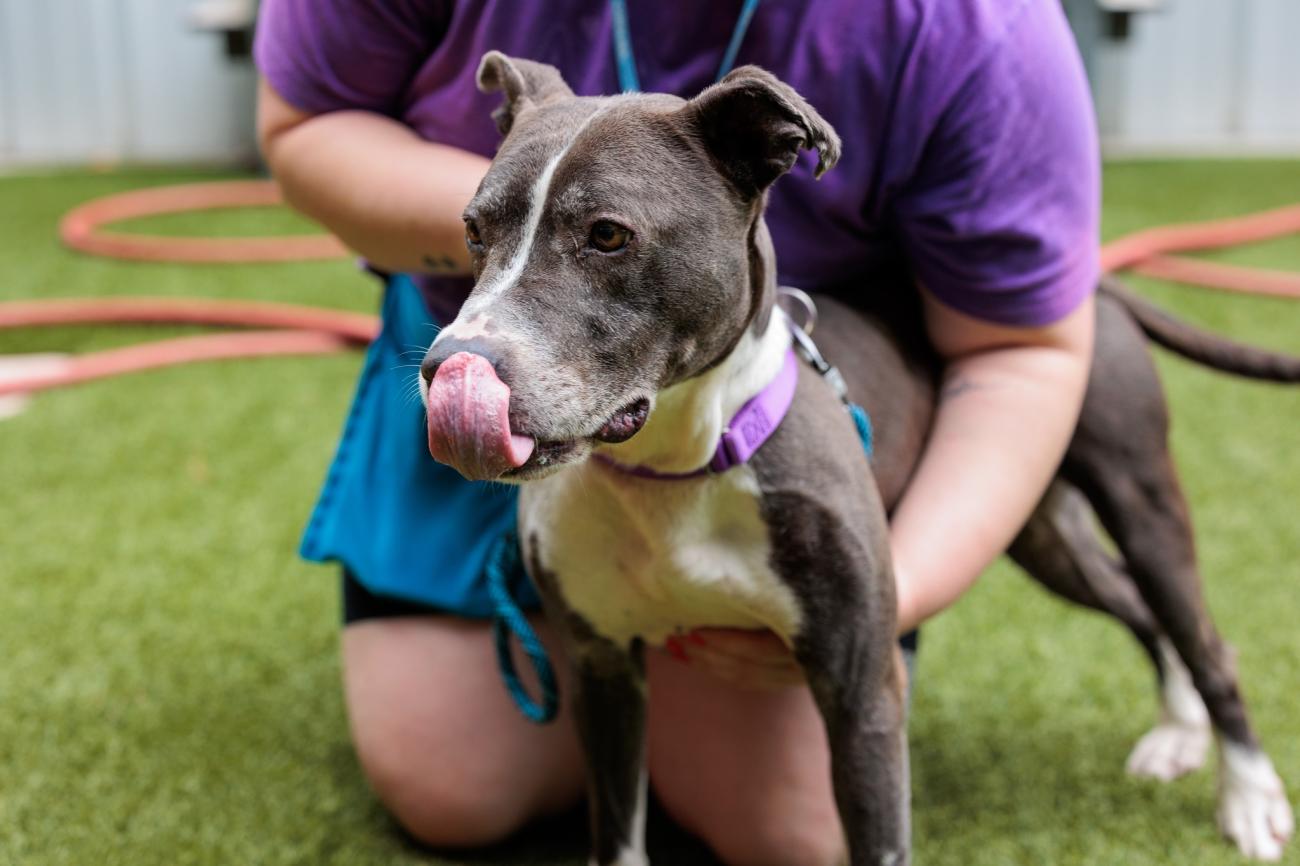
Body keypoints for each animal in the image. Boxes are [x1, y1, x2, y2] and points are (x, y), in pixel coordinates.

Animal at [421, 53, 1294, 863]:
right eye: (473, 232)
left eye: (607, 235)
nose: (447, 367)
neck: (674, 468)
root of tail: (1093, 281)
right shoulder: (604, 671)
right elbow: (620, 836)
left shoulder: (862, 692)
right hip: (1041, 532)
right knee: (1135, 602)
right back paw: (1178, 731)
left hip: (1139, 496)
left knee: (1202, 636)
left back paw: (1248, 797)